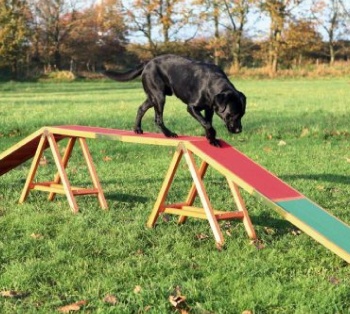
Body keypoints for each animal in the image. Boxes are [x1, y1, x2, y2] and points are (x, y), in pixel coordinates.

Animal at [104, 54, 246, 147]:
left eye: (242, 115)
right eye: (231, 114)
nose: (239, 130)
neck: (212, 84)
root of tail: (148, 62)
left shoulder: (209, 108)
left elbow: (207, 122)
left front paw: (211, 139)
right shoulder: (192, 107)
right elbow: (207, 123)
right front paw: (212, 136)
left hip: (153, 97)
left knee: (141, 108)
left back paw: (137, 129)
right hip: (159, 97)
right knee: (158, 119)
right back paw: (169, 133)